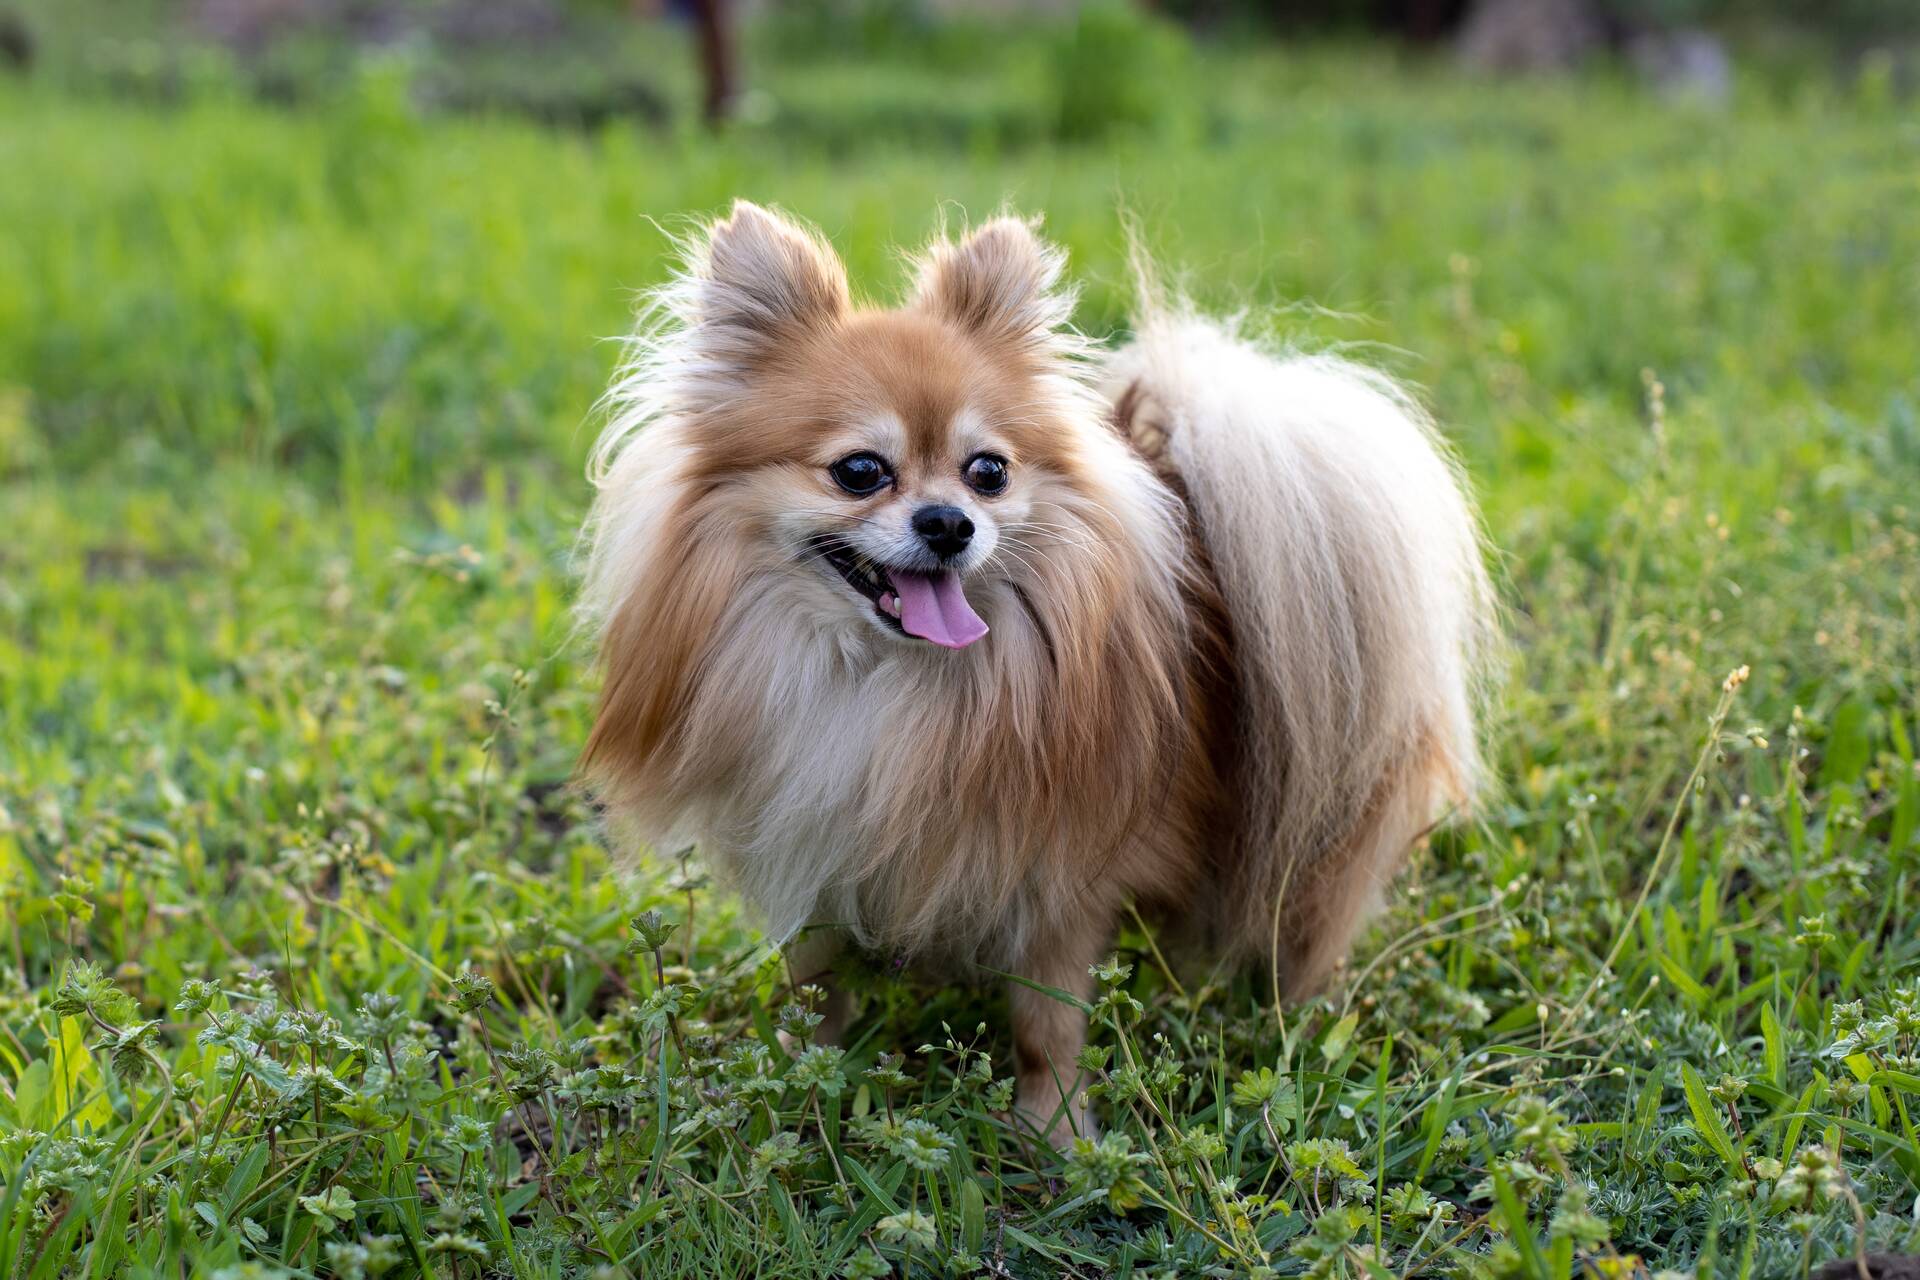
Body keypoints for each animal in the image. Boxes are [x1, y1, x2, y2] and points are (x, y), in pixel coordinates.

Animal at [572, 205, 1497, 1143]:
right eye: (860, 471)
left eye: (989, 471)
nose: (948, 522)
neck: (884, 683)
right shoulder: (812, 845)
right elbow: (815, 986)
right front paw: (801, 1085)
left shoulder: (1060, 872)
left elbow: (1046, 1022)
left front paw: (1057, 1135)